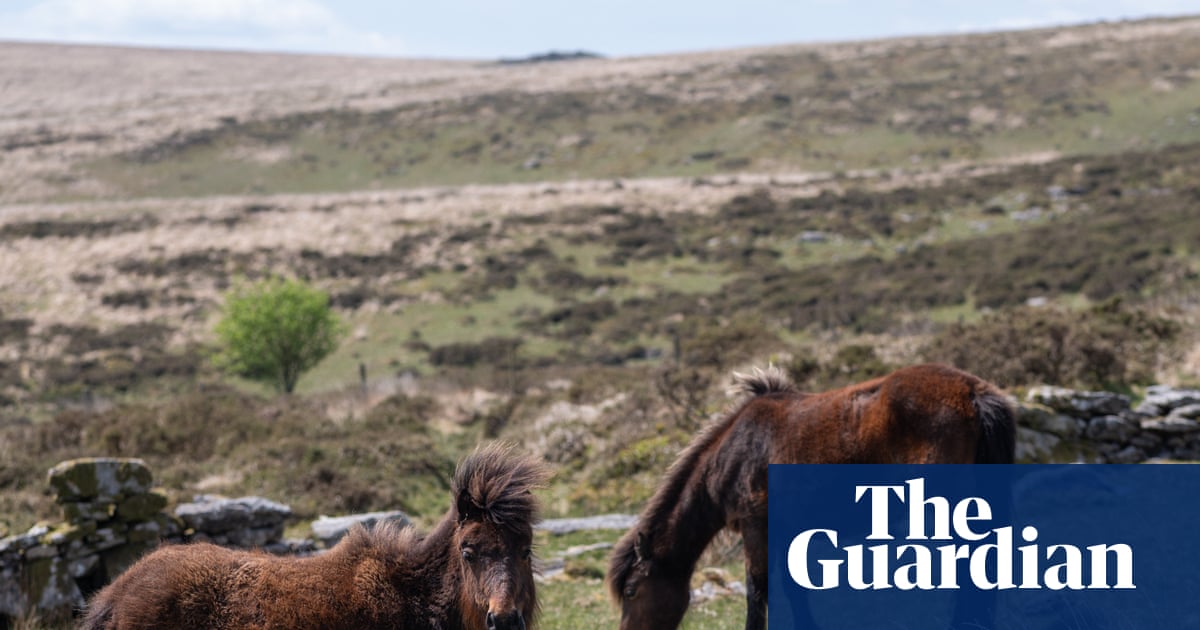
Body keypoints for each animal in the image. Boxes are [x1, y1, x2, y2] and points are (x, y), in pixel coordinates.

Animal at [607, 363, 1015, 630]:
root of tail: (973, 393)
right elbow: (791, 588)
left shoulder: (756, 526)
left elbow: (757, 590)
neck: (733, 451)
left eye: (631, 591)